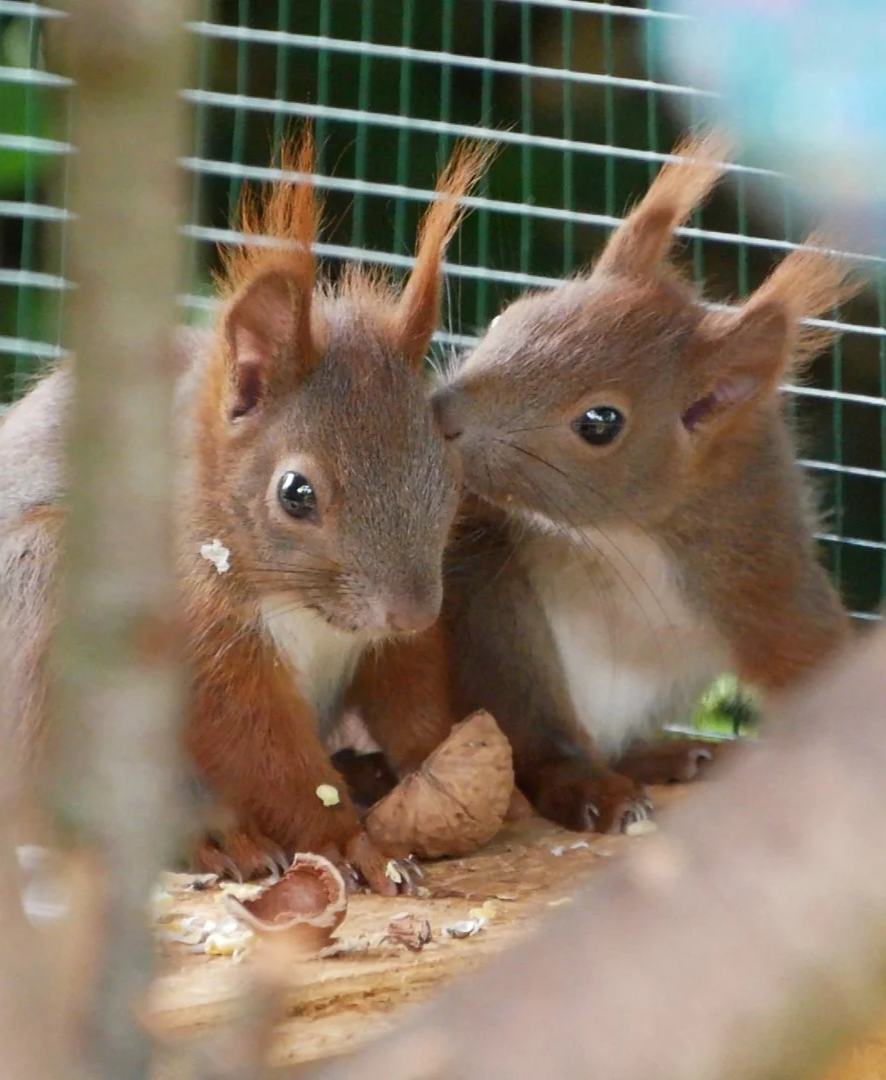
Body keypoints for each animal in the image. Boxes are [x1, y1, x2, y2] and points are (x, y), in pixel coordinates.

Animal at [0, 130, 486, 893]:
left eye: (446, 457)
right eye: (295, 493)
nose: (412, 611)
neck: (312, 613)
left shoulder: (389, 643)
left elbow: (408, 699)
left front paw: (451, 763)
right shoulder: (204, 645)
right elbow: (266, 755)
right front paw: (350, 842)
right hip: (39, 579)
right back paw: (210, 840)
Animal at [396, 131, 858, 834]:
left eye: (600, 422)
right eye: (509, 315)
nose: (441, 413)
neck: (624, 537)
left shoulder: (761, 574)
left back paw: (662, 756)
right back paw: (593, 783)